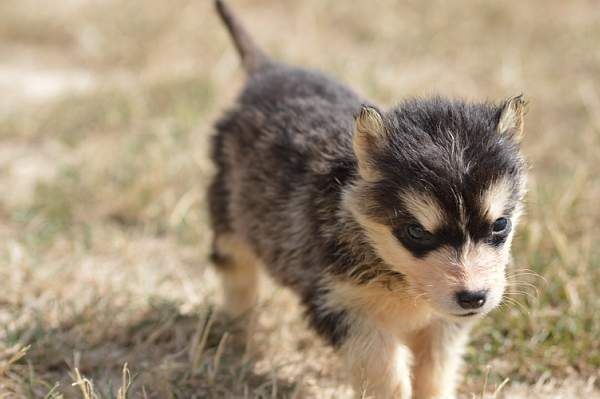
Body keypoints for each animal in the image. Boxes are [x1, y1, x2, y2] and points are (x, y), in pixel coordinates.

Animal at [209, 1, 528, 398]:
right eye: (415, 232)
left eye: (500, 224)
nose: (473, 298)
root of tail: (269, 71)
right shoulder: (345, 308)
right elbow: (384, 372)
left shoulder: (442, 326)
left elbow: (435, 372)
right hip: (229, 213)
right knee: (236, 272)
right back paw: (240, 336)